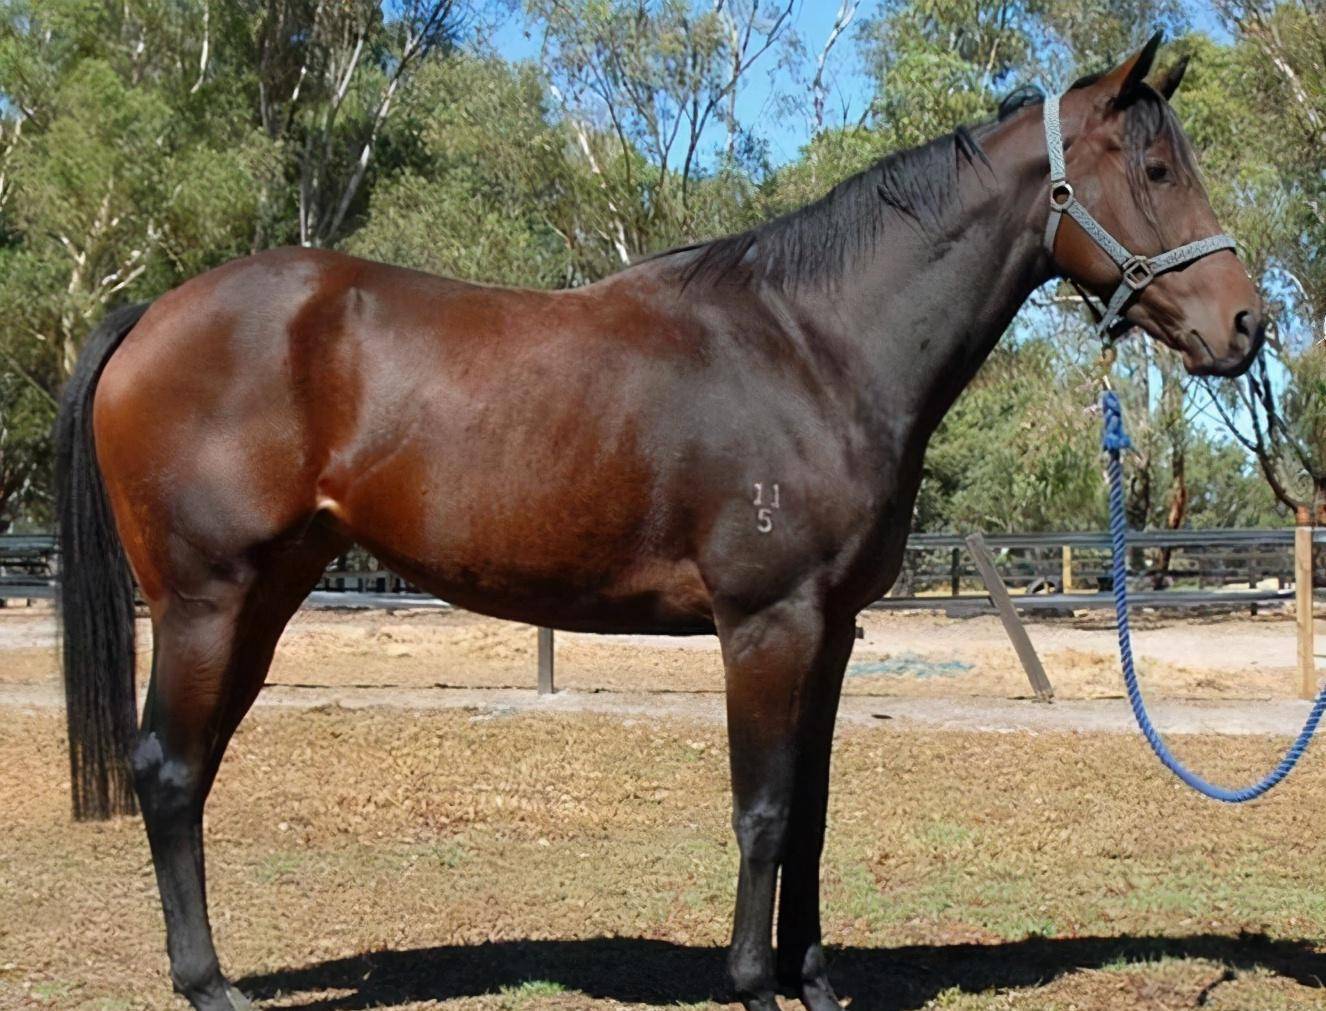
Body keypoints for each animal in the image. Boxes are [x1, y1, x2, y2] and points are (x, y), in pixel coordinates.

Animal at [59, 35, 1262, 1008]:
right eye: (1156, 171)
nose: (1247, 324)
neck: (817, 346)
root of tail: (153, 315)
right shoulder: (766, 625)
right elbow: (763, 810)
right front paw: (753, 984)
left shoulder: (833, 633)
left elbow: (813, 811)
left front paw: (814, 980)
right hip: (206, 601)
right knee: (169, 769)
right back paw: (207, 984)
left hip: (264, 599)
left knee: (193, 767)